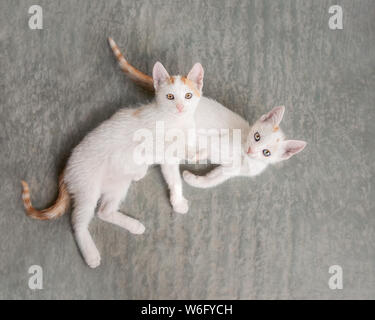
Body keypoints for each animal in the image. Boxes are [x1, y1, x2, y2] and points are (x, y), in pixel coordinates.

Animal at [22, 60, 206, 268]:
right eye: (170, 96)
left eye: (188, 95)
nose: (180, 107)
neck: (175, 121)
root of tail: (67, 166)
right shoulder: (158, 147)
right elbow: (172, 167)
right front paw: (179, 196)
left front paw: (194, 156)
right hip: (88, 188)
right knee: (78, 221)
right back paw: (91, 254)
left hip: (118, 185)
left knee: (104, 212)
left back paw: (134, 224)